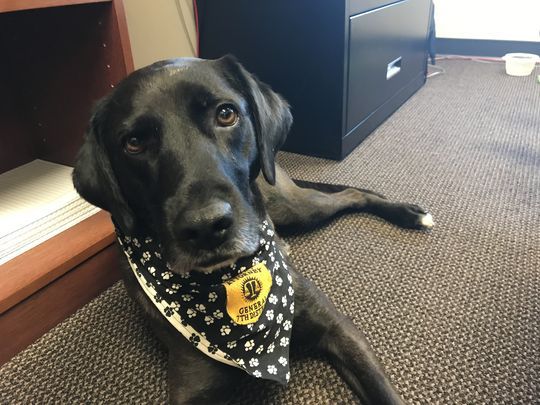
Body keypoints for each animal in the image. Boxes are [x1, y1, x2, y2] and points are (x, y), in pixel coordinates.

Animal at [73, 55, 434, 402]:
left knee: (351, 195)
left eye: (226, 114)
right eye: (133, 143)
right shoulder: (193, 385)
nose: (206, 227)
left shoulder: (339, 330)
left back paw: (409, 214)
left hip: (295, 207)